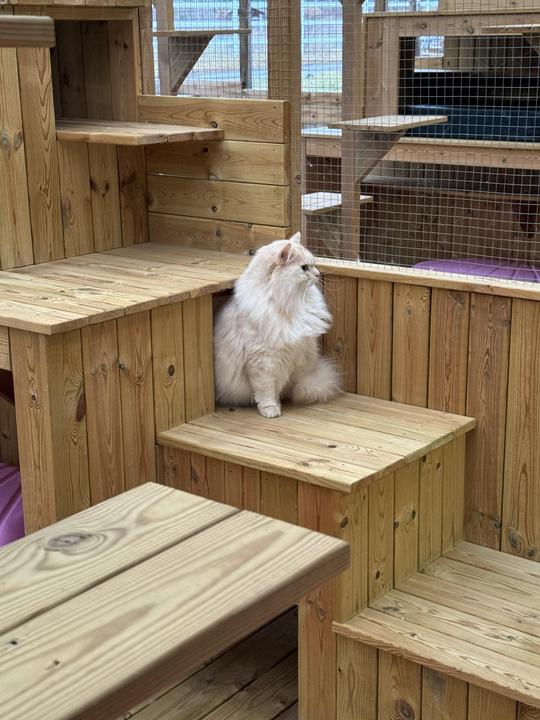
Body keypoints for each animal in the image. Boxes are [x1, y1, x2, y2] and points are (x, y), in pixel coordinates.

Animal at [214, 232, 341, 418]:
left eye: (313, 264)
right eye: (304, 268)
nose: (318, 274)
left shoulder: (288, 359)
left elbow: (277, 389)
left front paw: (277, 405)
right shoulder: (262, 363)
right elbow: (266, 392)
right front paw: (271, 411)